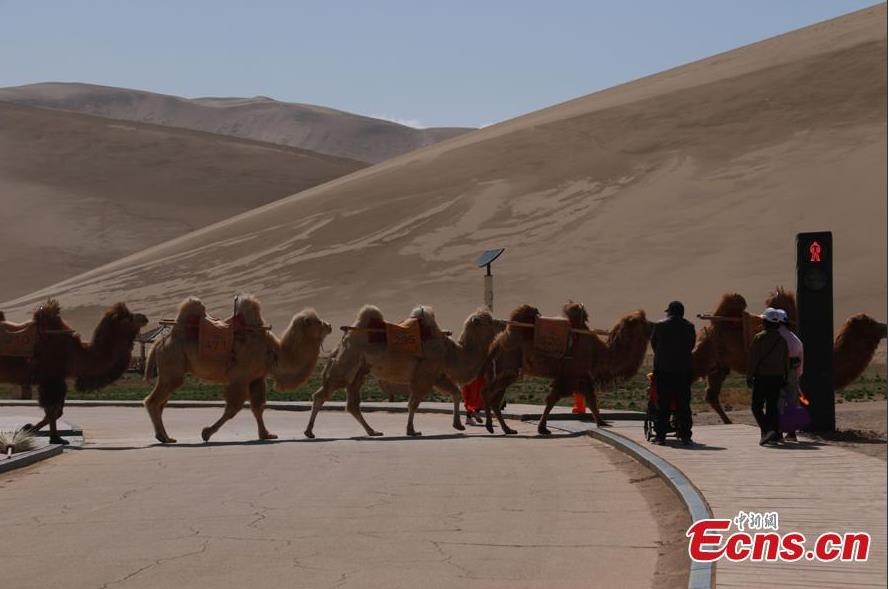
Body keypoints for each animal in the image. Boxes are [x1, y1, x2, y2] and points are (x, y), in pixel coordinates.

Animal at [0, 300, 147, 444]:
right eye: (128, 318)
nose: (144, 317)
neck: (75, 352)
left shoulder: (57, 379)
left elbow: (57, 411)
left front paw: (28, 428)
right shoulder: (51, 379)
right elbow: (53, 410)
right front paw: (55, 438)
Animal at [144, 296, 332, 444]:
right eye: (318, 322)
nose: (330, 324)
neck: (274, 352)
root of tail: (159, 342)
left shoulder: (256, 378)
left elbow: (258, 407)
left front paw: (266, 434)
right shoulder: (240, 377)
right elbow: (233, 408)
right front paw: (206, 433)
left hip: (172, 370)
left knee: (161, 403)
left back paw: (165, 437)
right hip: (172, 365)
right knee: (153, 401)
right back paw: (164, 436)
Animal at [304, 306, 500, 438]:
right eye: (489, 321)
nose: (502, 323)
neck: (450, 352)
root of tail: (345, 337)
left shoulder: (437, 375)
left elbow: (456, 393)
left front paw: (458, 425)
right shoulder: (425, 372)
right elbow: (413, 403)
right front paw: (411, 430)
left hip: (360, 370)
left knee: (352, 404)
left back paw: (372, 431)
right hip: (347, 363)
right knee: (321, 395)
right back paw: (309, 431)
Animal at [482, 304, 656, 436]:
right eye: (643, 321)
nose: (654, 324)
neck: (598, 352)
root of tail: (497, 342)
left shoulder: (582, 376)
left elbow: (591, 400)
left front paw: (602, 423)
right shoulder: (570, 375)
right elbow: (552, 399)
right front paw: (543, 428)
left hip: (509, 371)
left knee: (495, 398)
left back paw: (507, 429)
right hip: (509, 366)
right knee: (489, 392)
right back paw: (490, 426)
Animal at [692, 288, 888, 420]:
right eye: (870, 323)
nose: (885, 326)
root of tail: (707, 326)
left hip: (718, 366)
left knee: (711, 395)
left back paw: (728, 423)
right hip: (704, 355)